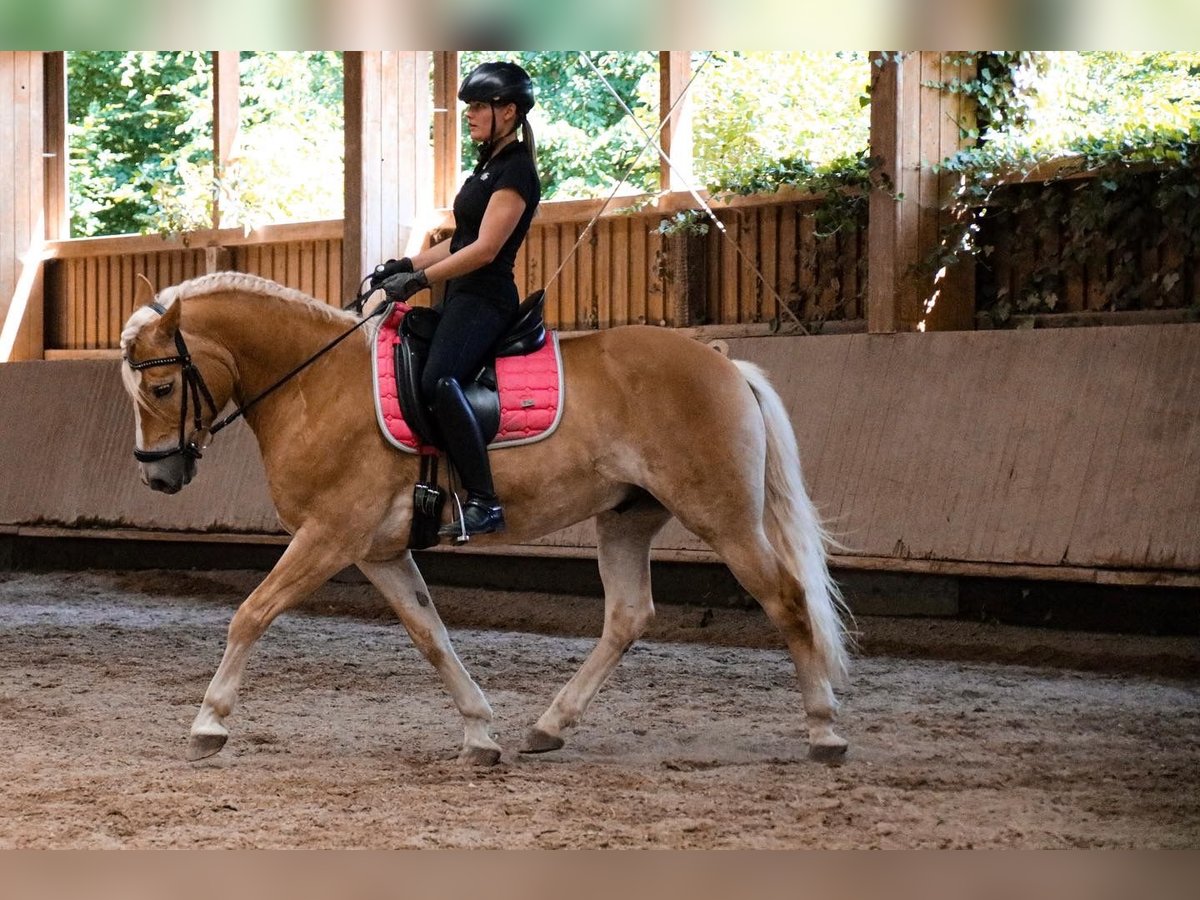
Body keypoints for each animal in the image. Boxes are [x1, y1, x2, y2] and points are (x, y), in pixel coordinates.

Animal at [119, 270, 854, 768]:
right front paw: (478, 732)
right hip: (626, 518)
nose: (158, 476)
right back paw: (549, 726)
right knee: (628, 616)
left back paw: (824, 731)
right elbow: (431, 636)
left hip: (723, 517)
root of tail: (723, 362)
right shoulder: (375, 550)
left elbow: (252, 613)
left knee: (787, 601)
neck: (315, 385)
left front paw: (209, 723)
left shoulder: (328, 535)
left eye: (161, 386)